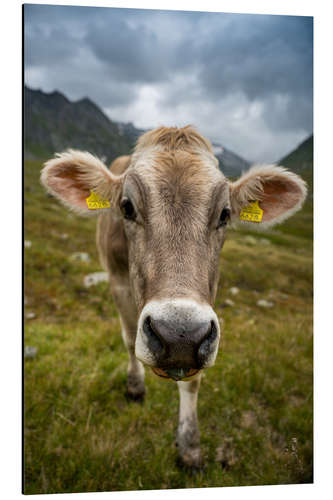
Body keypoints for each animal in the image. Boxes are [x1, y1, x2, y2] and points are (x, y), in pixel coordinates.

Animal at [40, 125, 304, 468]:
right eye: (126, 206)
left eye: (225, 214)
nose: (179, 335)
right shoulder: (117, 280)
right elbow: (129, 339)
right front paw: (135, 388)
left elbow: (193, 381)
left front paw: (189, 447)